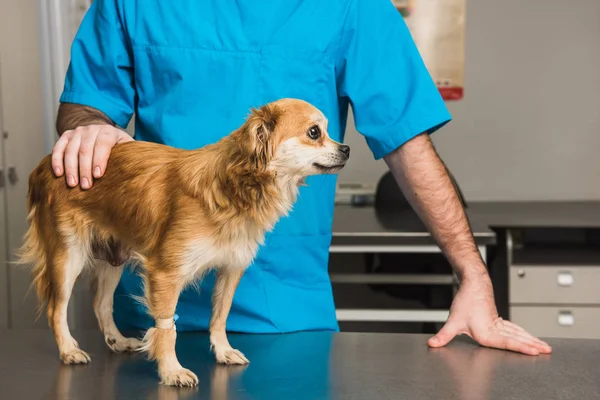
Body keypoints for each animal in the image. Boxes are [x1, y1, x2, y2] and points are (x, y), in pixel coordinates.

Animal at [17, 98, 346, 386]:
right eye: (314, 133)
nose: (347, 148)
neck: (238, 187)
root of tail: (45, 166)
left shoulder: (232, 268)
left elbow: (220, 315)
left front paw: (223, 351)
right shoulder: (165, 273)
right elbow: (167, 328)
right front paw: (171, 371)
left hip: (113, 257)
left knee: (101, 304)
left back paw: (117, 340)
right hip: (67, 257)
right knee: (56, 309)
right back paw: (69, 350)